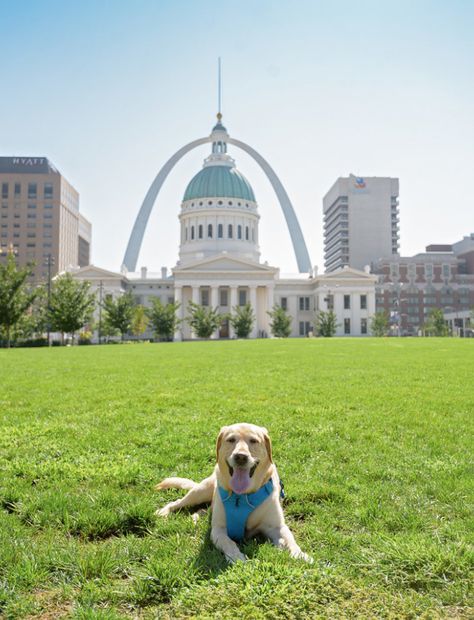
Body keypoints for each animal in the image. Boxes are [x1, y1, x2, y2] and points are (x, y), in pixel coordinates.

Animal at [156, 424, 312, 564]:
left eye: (253, 440)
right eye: (231, 440)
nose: (241, 457)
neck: (242, 497)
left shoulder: (277, 527)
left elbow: (290, 539)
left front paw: (299, 554)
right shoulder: (218, 530)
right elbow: (229, 542)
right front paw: (236, 557)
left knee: (204, 510)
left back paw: (195, 517)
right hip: (200, 492)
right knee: (177, 502)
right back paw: (164, 512)